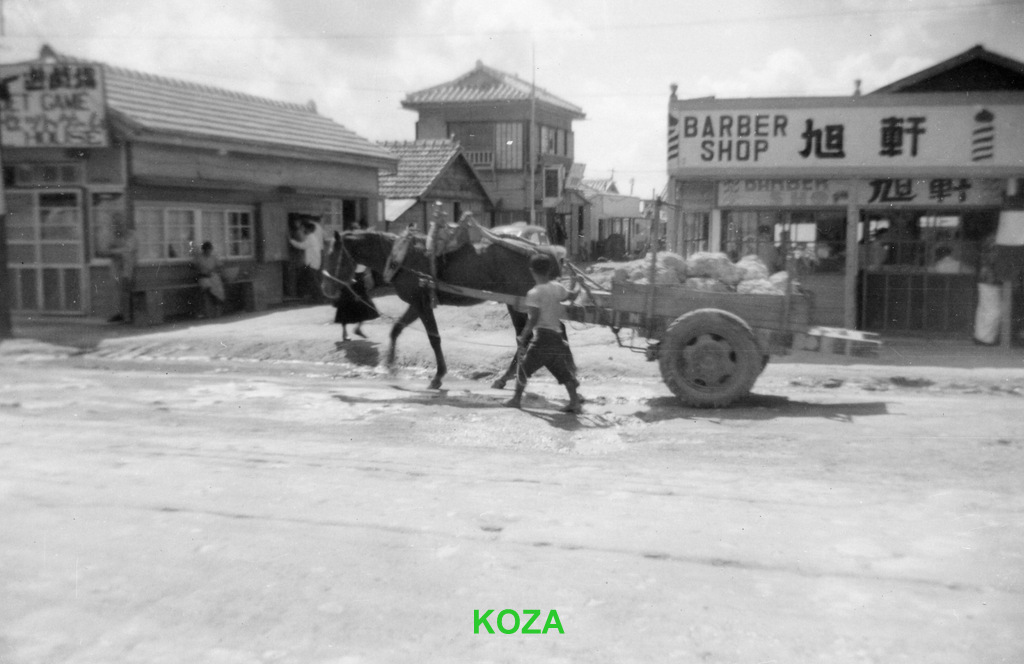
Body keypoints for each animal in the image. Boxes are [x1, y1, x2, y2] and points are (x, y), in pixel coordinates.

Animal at [324, 229, 557, 390]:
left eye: (334, 255)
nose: (326, 289)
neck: (401, 257)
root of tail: (537, 251)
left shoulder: (422, 303)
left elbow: (433, 337)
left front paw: (438, 376)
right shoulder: (416, 302)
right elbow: (396, 329)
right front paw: (389, 365)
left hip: (517, 303)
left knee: (523, 337)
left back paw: (507, 376)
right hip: (515, 303)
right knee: (523, 336)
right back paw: (507, 377)